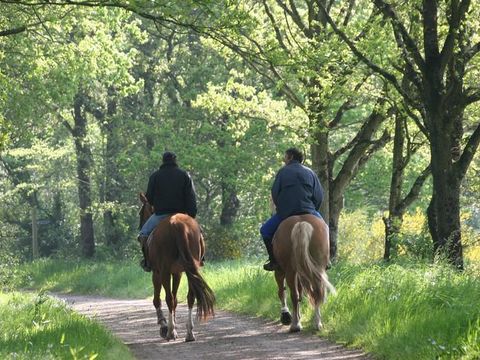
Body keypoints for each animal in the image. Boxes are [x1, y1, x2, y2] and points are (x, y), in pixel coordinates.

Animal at [138, 193, 215, 342]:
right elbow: (175, 299)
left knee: (168, 298)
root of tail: (178, 225)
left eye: (141, 212)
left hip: (164, 272)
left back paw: (170, 332)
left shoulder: (157, 273)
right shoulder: (178, 273)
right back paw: (189, 333)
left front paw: (164, 325)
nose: (140, 227)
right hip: (191, 269)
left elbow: (158, 299)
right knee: (190, 297)